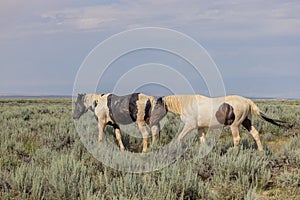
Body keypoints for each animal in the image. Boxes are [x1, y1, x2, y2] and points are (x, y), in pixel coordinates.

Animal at [149, 94, 290, 151]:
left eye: (157, 107)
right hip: (246, 122)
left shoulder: (190, 126)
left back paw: (234, 153)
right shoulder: (200, 128)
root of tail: (247, 101)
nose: (150, 121)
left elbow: (179, 138)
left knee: (237, 138)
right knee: (255, 134)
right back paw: (261, 152)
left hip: (235, 125)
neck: (187, 104)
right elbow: (203, 140)